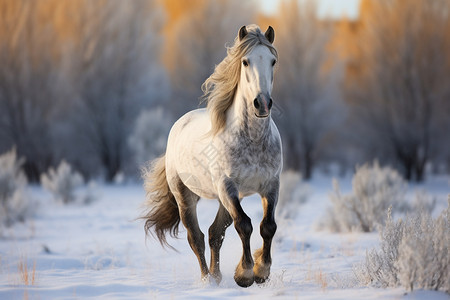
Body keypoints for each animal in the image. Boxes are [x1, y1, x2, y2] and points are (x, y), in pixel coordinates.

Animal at [142, 24, 282, 288]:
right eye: (245, 61)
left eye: (273, 61)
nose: (262, 104)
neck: (252, 141)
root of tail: (179, 124)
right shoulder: (228, 187)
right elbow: (244, 225)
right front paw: (245, 274)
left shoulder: (270, 186)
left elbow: (267, 226)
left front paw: (262, 271)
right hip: (186, 196)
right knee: (195, 236)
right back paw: (207, 279)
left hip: (223, 199)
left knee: (215, 233)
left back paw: (217, 277)